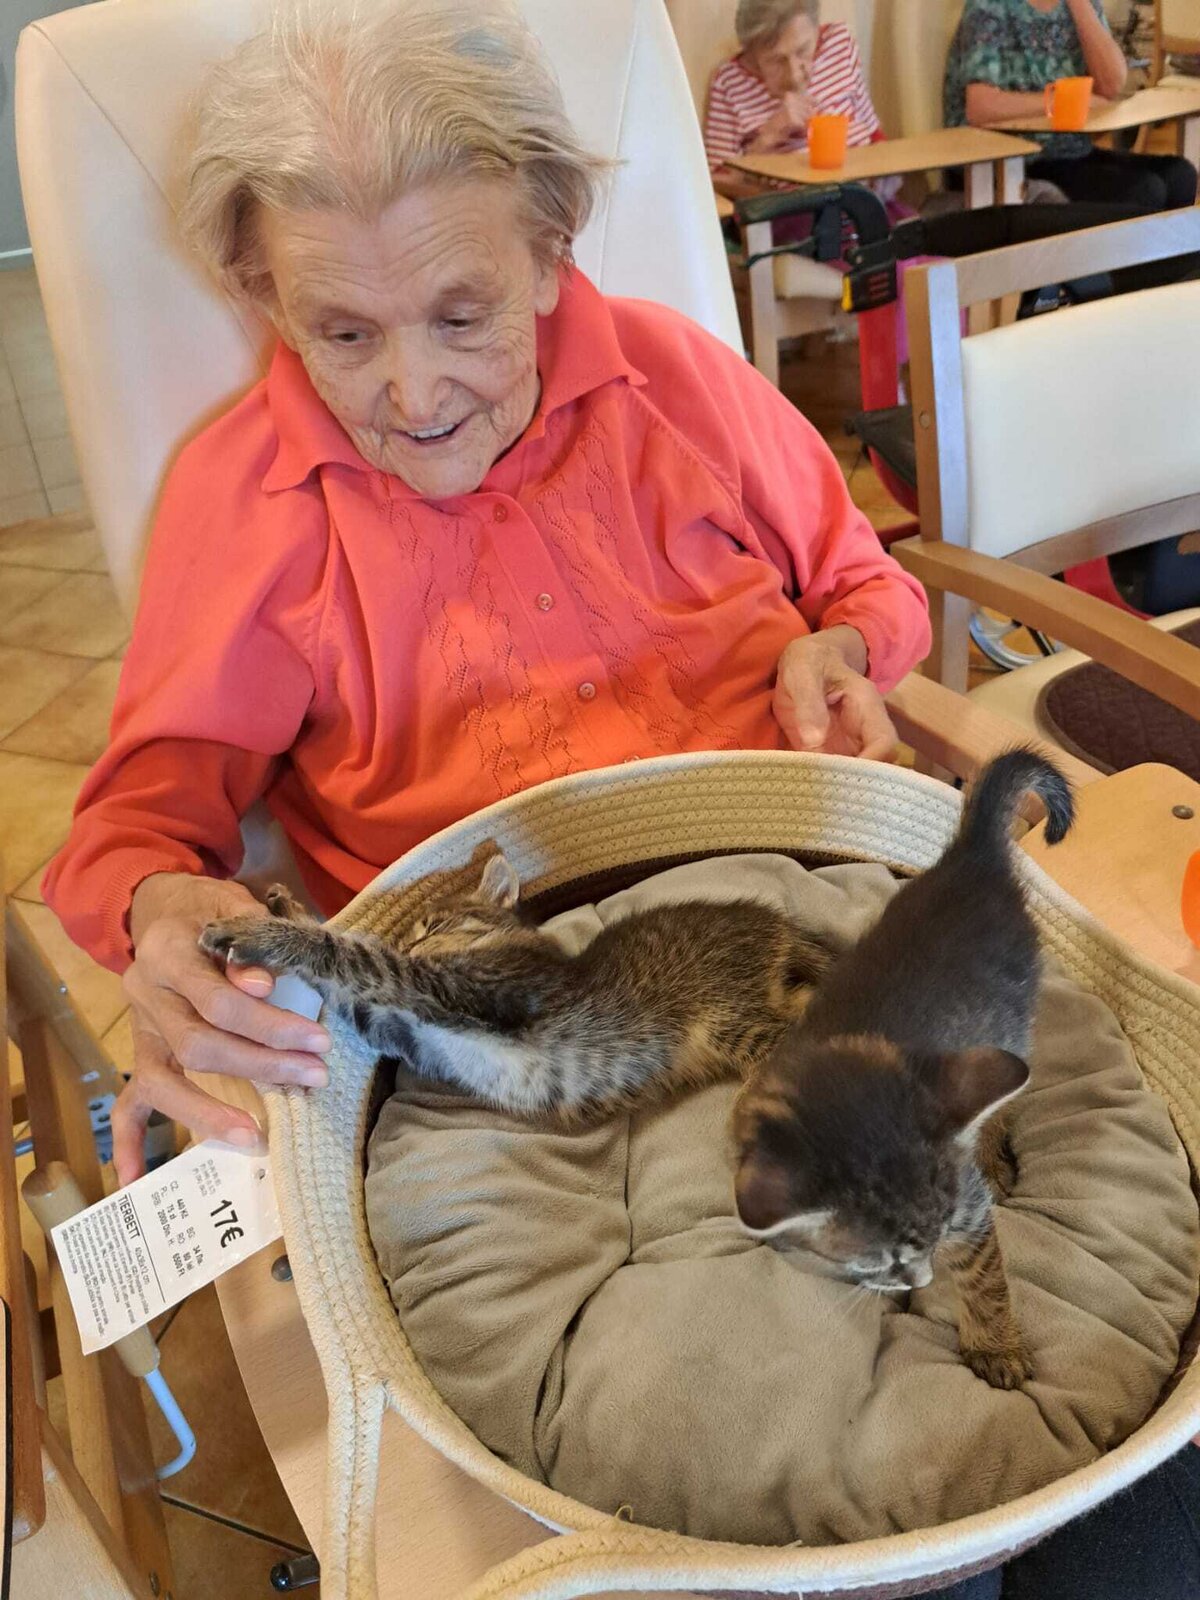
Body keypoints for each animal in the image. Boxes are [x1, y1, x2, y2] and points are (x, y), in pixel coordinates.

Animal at [198, 855, 834, 1122]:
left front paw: (263, 931)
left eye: (433, 926)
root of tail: (774, 925)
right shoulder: (414, 1036)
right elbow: (354, 994)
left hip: (729, 1016)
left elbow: (355, 956)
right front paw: (288, 908)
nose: (414, 946)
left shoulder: (474, 993)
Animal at [731, 748, 1074, 1390]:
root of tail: (974, 856)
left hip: (1013, 1024)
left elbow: (985, 1278)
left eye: (943, 1231)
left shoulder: (969, 1213)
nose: (922, 1278)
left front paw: (995, 1347)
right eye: (882, 1256)